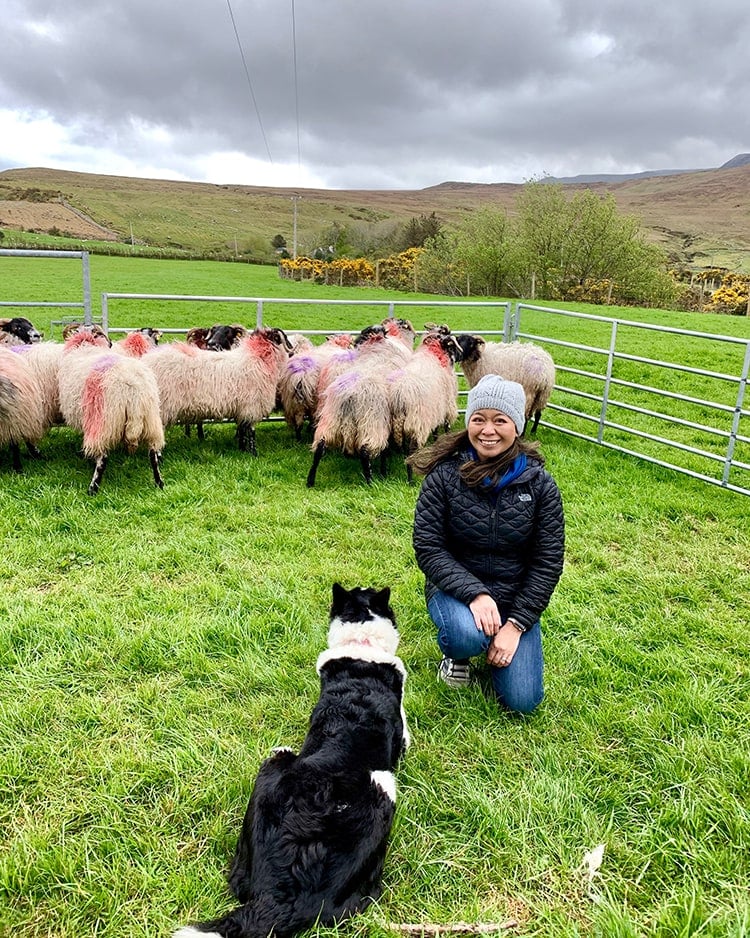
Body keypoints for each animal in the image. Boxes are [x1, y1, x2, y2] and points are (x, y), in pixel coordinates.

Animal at [57, 332, 166, 498]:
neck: (85, 346)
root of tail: (133, 388)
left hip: (105, 422)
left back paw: (93, 489)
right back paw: (159, 483)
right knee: (153, 455)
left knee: (103, 459)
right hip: (151, 420)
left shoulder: (90, 420)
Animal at [144, 326, 294, 454]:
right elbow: (251, 432)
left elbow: (242, 430)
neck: (259, 357)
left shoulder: (242, 408)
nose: (292, 351)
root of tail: (146, 361)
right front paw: (254, 454)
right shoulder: (252, 406)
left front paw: (242, 450)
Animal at [388, 330, 464, 478]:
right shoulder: (446, 406)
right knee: (411, 449)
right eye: (452, 346)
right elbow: (446, 427)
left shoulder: (435, 409)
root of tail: (399, 395)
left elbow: (435, 431)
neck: (433, 354)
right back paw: (411, 478)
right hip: (417, 422)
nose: (462, 355)